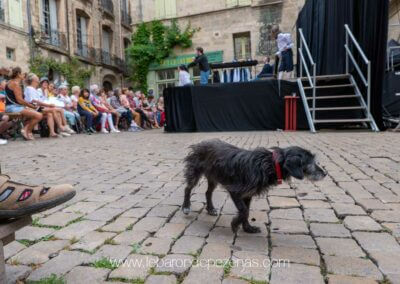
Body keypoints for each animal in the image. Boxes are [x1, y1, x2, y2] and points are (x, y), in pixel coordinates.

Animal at [183, 139, 326, 234]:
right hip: (195, 173)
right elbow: (244, 211)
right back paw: (186, 207)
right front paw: (235, 224)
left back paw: (211, 208)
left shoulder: (247, 195)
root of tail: (201, 143)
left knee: (208, 192)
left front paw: (248, 228)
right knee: (187, 189)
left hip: (214, 177)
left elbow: (246, 211)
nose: (325, 173)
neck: (270, 164)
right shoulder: (235, 191)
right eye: (310, 163)